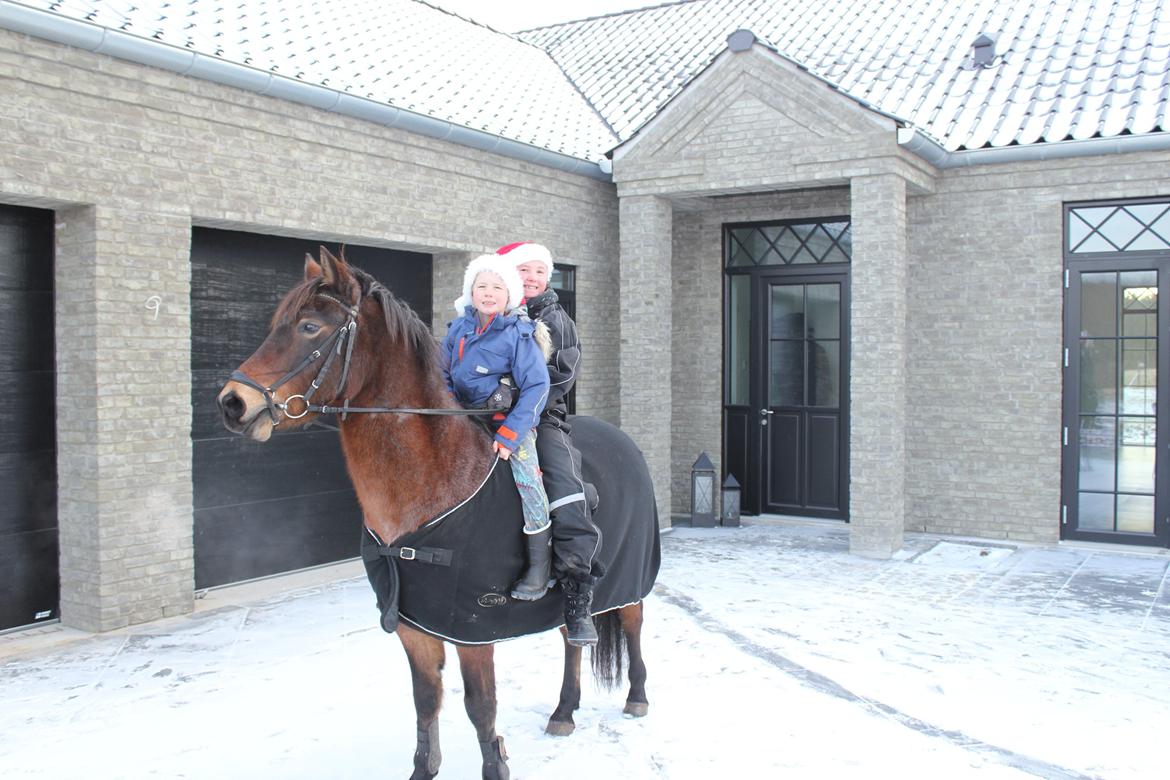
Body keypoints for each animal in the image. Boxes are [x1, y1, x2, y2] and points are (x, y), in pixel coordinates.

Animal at [217, 249, 659, 780]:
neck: (436, 477)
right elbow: (426, 703)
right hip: (572, 604)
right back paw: (564, 711)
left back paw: (637, 697)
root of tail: (627, 444)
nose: (232, 402)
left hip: (628, 582)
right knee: (573, 639)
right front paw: (423, 768)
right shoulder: (415, 628)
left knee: (633, 625)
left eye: (308, 327)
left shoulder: (473, 632)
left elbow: (480, 709)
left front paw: (497, 765)